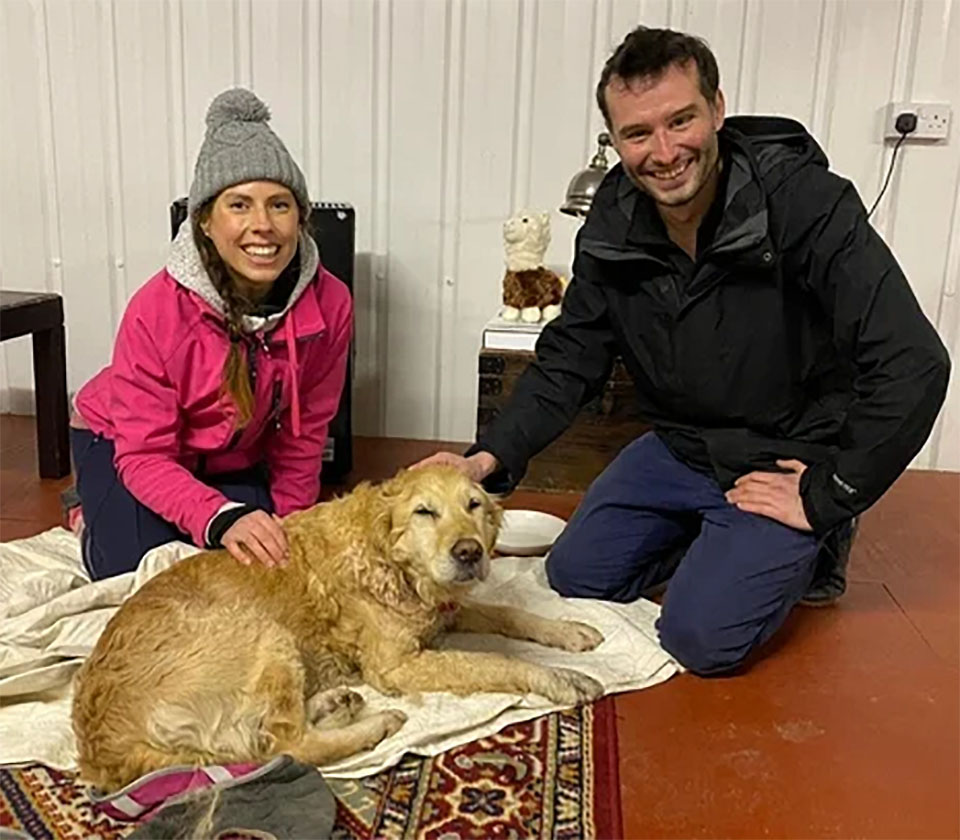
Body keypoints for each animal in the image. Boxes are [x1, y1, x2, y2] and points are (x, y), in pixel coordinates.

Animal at [75, 462, 604, 792]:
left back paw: (336, 703)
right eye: (425, 512)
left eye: (474, 505)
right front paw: (559, 678)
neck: (390, 560)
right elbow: (495, 660)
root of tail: (103, 746)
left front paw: (570, 632)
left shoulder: (444, 611)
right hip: (263, 632)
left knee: (275, 734)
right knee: (290, 746)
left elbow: (509, 615)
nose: (470, 553)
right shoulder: (397, 665)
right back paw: (377, 723)